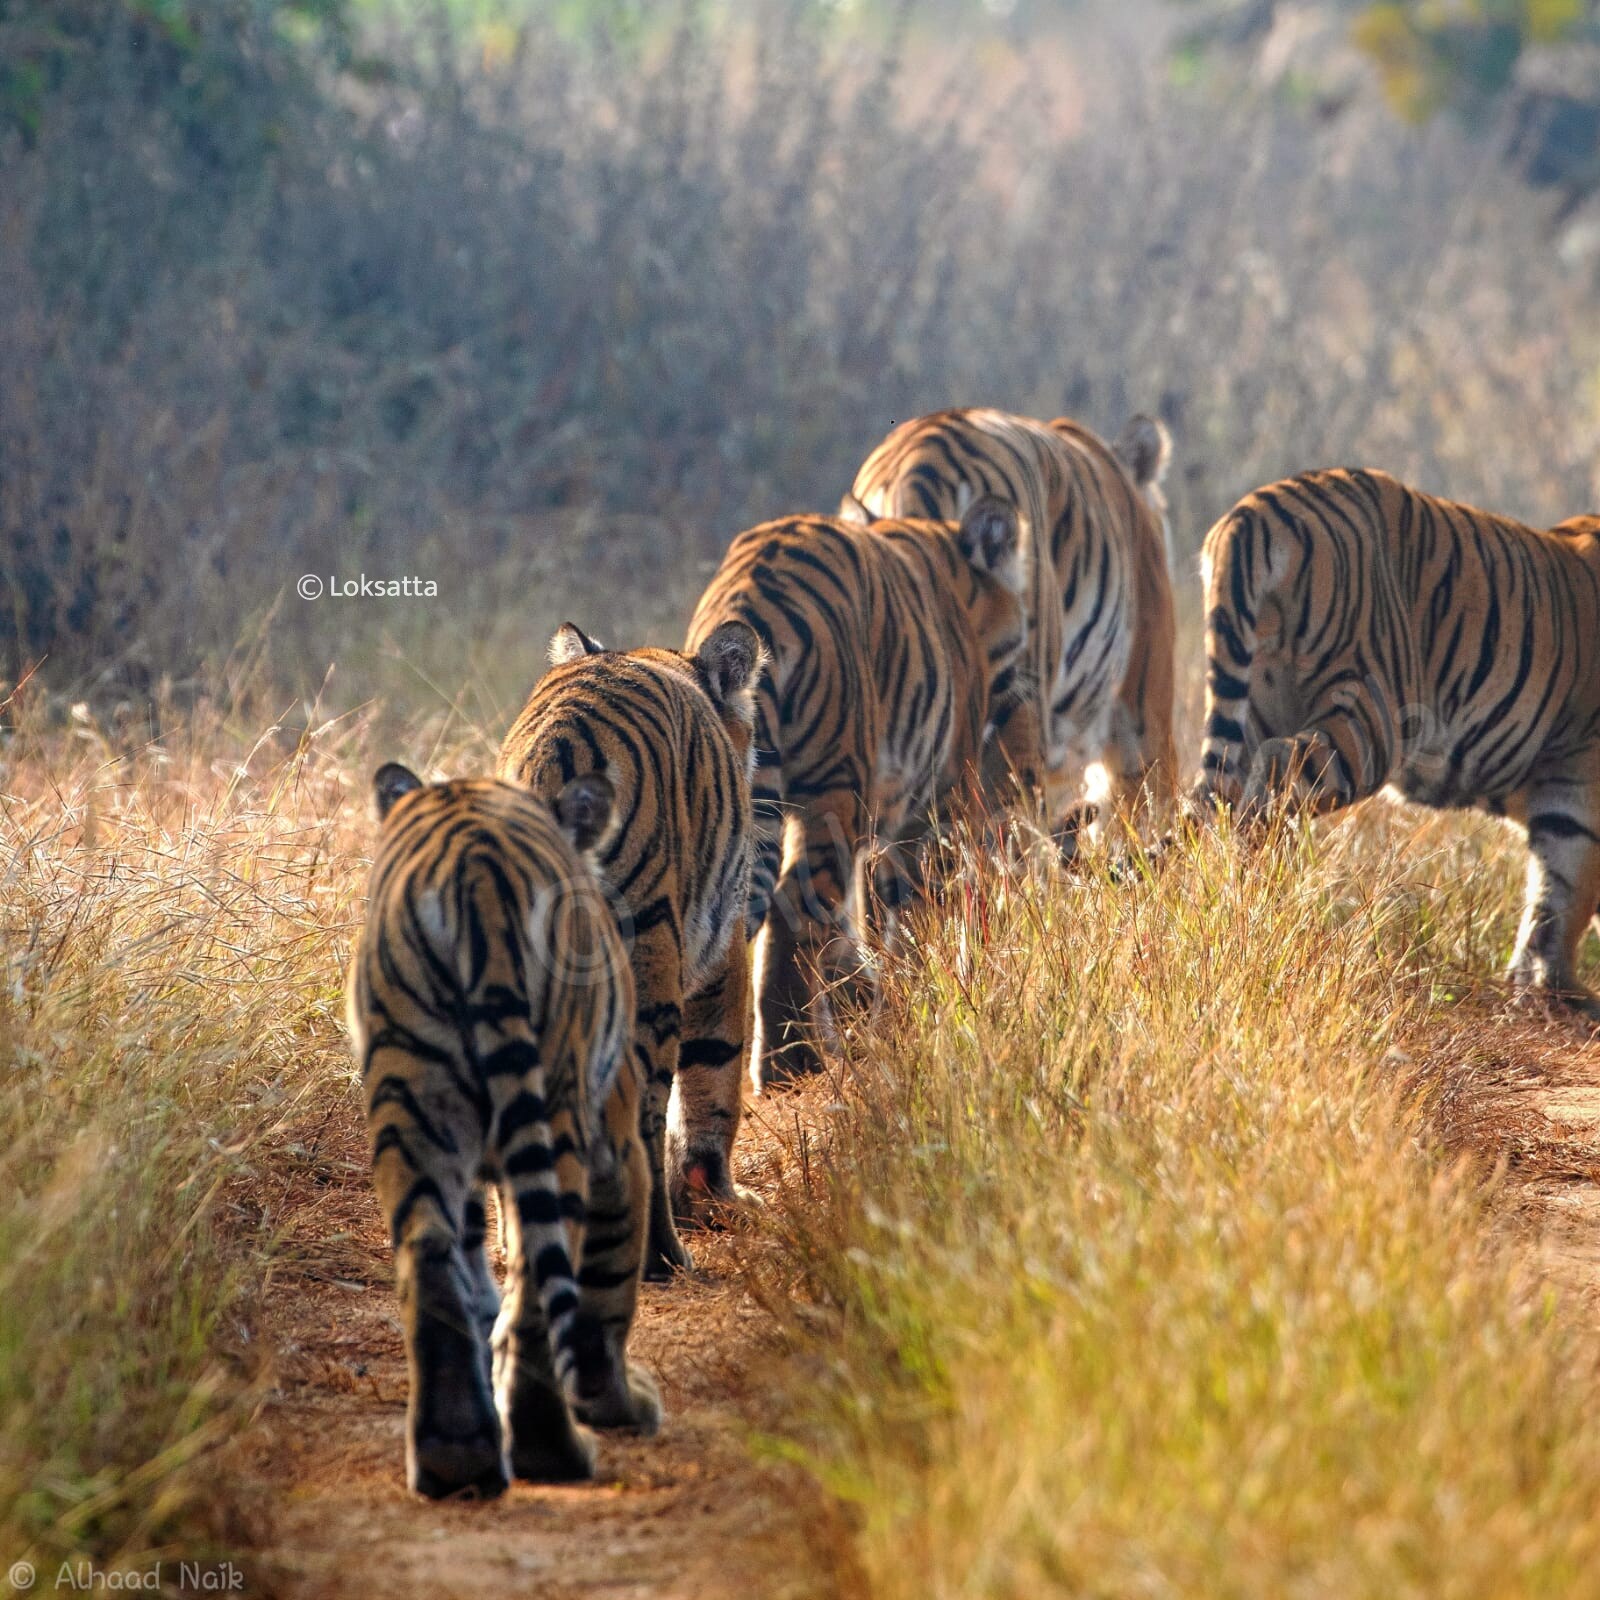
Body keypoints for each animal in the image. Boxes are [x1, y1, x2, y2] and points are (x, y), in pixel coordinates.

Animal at [344, 761, 656, 1497]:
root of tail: (474, 870)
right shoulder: (620, 1141)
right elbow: (606, 1291)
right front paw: (619, 1404)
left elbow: (477, 1281)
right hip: (561, 1101)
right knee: (542, 1286)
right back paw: (552, 1452)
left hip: (411, 1095)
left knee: (429, 1258)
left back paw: (454, 1457)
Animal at [499, 620, 768, 1273]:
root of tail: (553, 753)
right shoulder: (722, 947)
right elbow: (713, 1081)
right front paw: (715, 1198)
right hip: (649, 960)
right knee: (639, 1111)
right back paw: (661, 1255)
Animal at [684, 496, 1024, 1088]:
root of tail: (752, 595)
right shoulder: (935, 803)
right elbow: (912, 909)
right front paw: (919, 989)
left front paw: (864, 993)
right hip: (833, 787)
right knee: (792, 909)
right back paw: (788, 1061)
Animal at [1196, 467, 1600, 1011]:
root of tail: (1253, 511)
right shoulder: (1579, 779)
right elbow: (1568, 887)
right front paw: (1558, 989)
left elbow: (1553, 889)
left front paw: (1533, 981)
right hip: (1374, 711)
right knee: (1273, 776)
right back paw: (1265, 899)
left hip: (1256, 702)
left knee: (1231, 797)